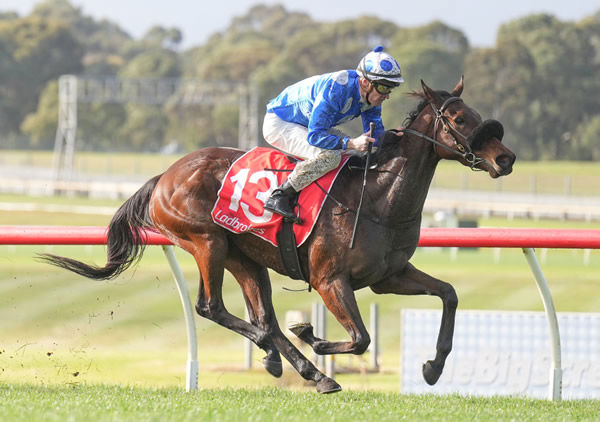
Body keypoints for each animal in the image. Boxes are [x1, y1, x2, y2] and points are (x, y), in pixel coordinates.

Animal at [41, 78, 516, 392]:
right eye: (458, 117)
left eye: (476, 114)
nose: (506, 158)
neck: (378, 197)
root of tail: (165, 176)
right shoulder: (329, 280)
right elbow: (360, 338)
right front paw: (312, 334)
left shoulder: (388, 277)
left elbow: (449, 294)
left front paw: (433, 367)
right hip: (207, 243)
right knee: (214, 308)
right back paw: (291, 357)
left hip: (245, 257)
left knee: (262, 318)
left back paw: (304, 369)